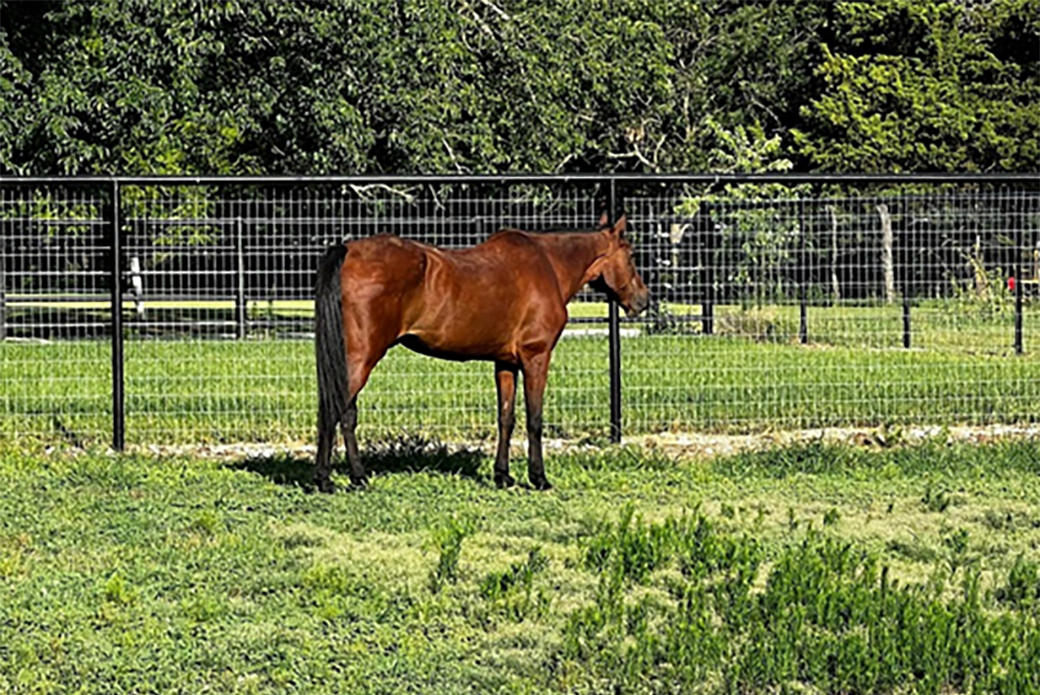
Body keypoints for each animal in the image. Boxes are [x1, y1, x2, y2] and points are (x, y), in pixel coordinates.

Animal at [312, 214, 644, 491]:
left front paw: (503, 476)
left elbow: (506, 418)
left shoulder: (506, 363)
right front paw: (538, 478)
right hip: (360, 360)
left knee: (336, 412)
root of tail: (348, 250)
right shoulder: (536, 358)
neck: (549, 264)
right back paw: (341, 479)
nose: (644, 300)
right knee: (338, 412)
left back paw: (339, 478)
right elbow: (534, 419)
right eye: (630, 254)